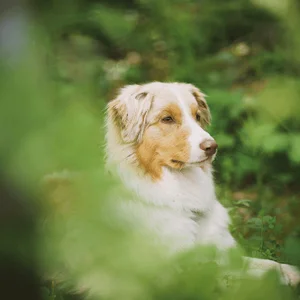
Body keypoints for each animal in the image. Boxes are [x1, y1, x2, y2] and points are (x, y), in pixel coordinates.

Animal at [105, 81, 300, 286]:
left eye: (197, 116)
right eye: (167, 119)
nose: (212, 147)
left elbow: (269, 264)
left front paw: (291, 272)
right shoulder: (179, 272)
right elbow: (241, 276)